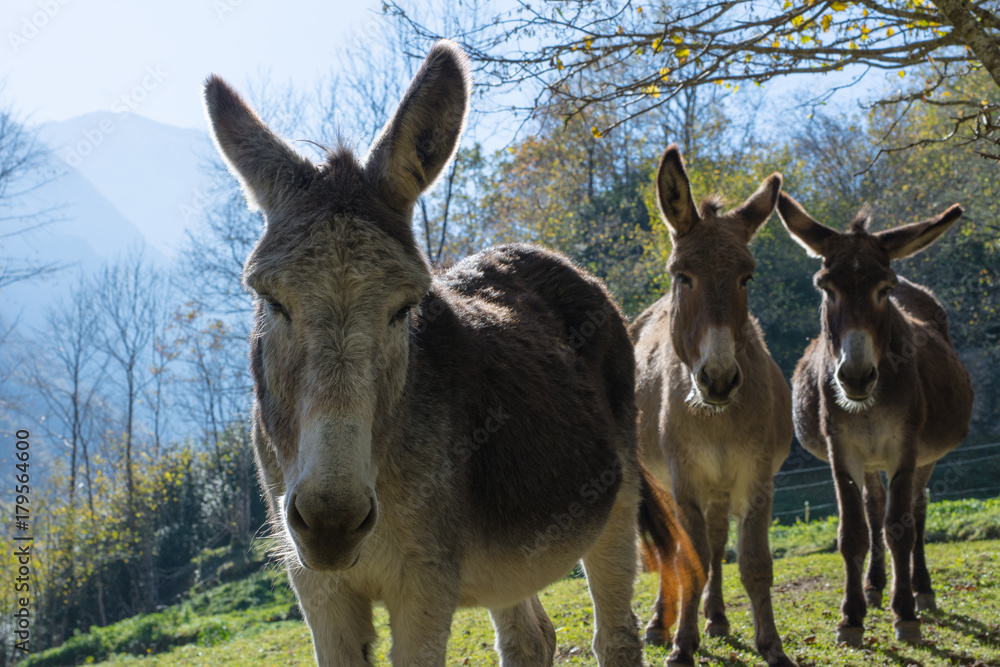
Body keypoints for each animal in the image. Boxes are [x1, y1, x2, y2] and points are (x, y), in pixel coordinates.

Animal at [203, 40, 696, 666]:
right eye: (271, 300)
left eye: (404, 307)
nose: (333, 521)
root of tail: (553, 259)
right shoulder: (316, 587)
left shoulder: (426, 582)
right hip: (510, 554)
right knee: (530, 638)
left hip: (616, 499)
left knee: (615, 633)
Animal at [630, 146, 796, 667]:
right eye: (682, 276)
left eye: (747, 277)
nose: (719, 379)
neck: (717, 418)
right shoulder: (683, 480)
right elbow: (691, 560)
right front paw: (682, 645)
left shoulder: (756, 476)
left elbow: (754, 562)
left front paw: (771, 645)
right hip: (661, 481)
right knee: (672, 548)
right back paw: (659, 625)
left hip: (720, 486)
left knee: (718, 538)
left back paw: (717, 617)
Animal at [776, 193, 973, 647]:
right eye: (826, 289)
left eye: (884, 290)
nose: (855, 377)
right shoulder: (842, 448)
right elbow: (853, 533)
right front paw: (851, 616)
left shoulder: (905, 447)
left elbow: (900, 527)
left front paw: (906, 615)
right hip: (868, 458)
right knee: (874, 507)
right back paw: (874, 586)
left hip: (924, 457)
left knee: (915, 511)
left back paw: (921, 591)